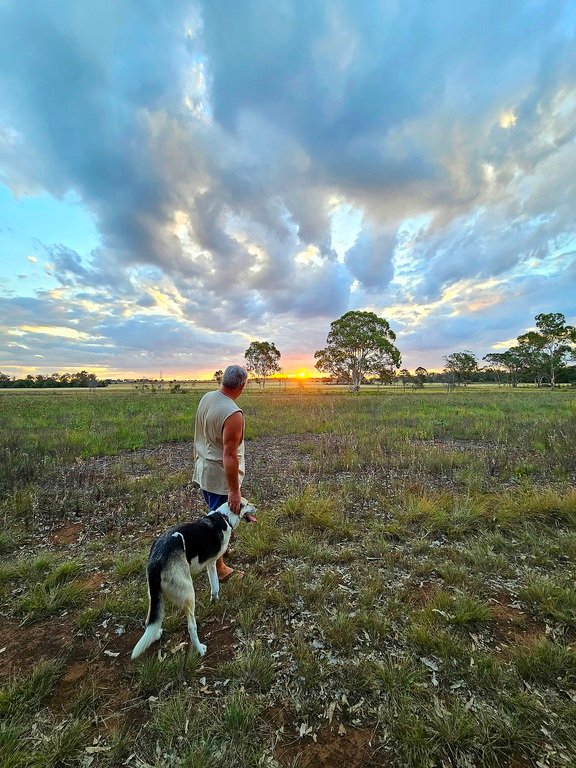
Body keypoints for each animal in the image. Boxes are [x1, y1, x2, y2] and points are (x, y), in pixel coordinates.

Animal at [132, 498, 258, 660]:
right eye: (247, 504)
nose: (256, 506)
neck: (224, 517)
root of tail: (156, 561)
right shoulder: (212, 562)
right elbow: (215, 584)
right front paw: (215, 599)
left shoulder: (210, 564)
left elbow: (214, 586)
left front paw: (215, 601)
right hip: (189, 594)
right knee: (191, 627)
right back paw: (200, 649)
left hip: (154, 596)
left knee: (150, 620)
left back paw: (155, 635)